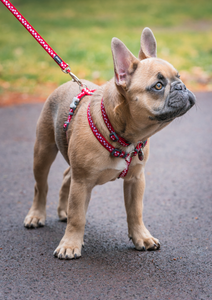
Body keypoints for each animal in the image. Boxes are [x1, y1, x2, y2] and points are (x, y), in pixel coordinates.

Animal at [23, 27, 195, 260]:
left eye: (179, 77)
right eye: (158, 86)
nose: (181, 86)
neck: (123, 137)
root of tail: (67, 83)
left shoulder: (135, 179)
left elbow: (135, 212)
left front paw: (142, 237)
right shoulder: (82, 182)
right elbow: (78, 216)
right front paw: (70, 244)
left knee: (67, 176)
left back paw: (63, 211)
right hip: (43, 151)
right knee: (40, 186)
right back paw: (36, 215)